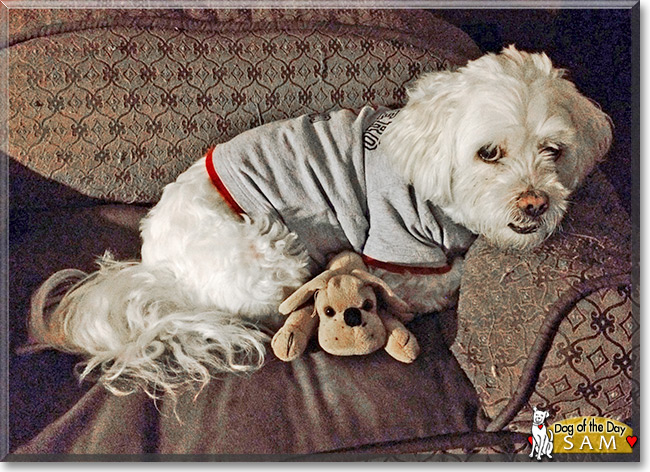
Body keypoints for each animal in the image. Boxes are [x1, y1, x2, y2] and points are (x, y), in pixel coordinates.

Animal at [26, 46, 608, 398]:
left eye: (553, 150)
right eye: (488, 153)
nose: (535, 204)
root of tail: (158, 265)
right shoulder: (397, 251)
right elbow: (442, 278)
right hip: (272, 251)